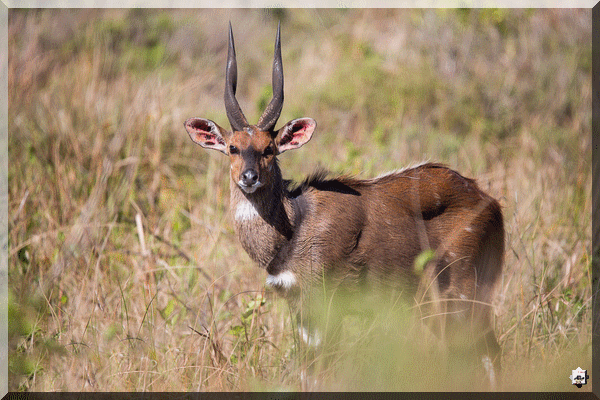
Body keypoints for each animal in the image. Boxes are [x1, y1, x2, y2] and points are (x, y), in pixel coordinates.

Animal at [185, 23, 504, 386]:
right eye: (233, 148)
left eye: (269, 148)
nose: (249, 177)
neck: (293, 229)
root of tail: (491, 203)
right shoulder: (300, 307)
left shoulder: (323, 301)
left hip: (462, 291)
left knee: (488, 354)